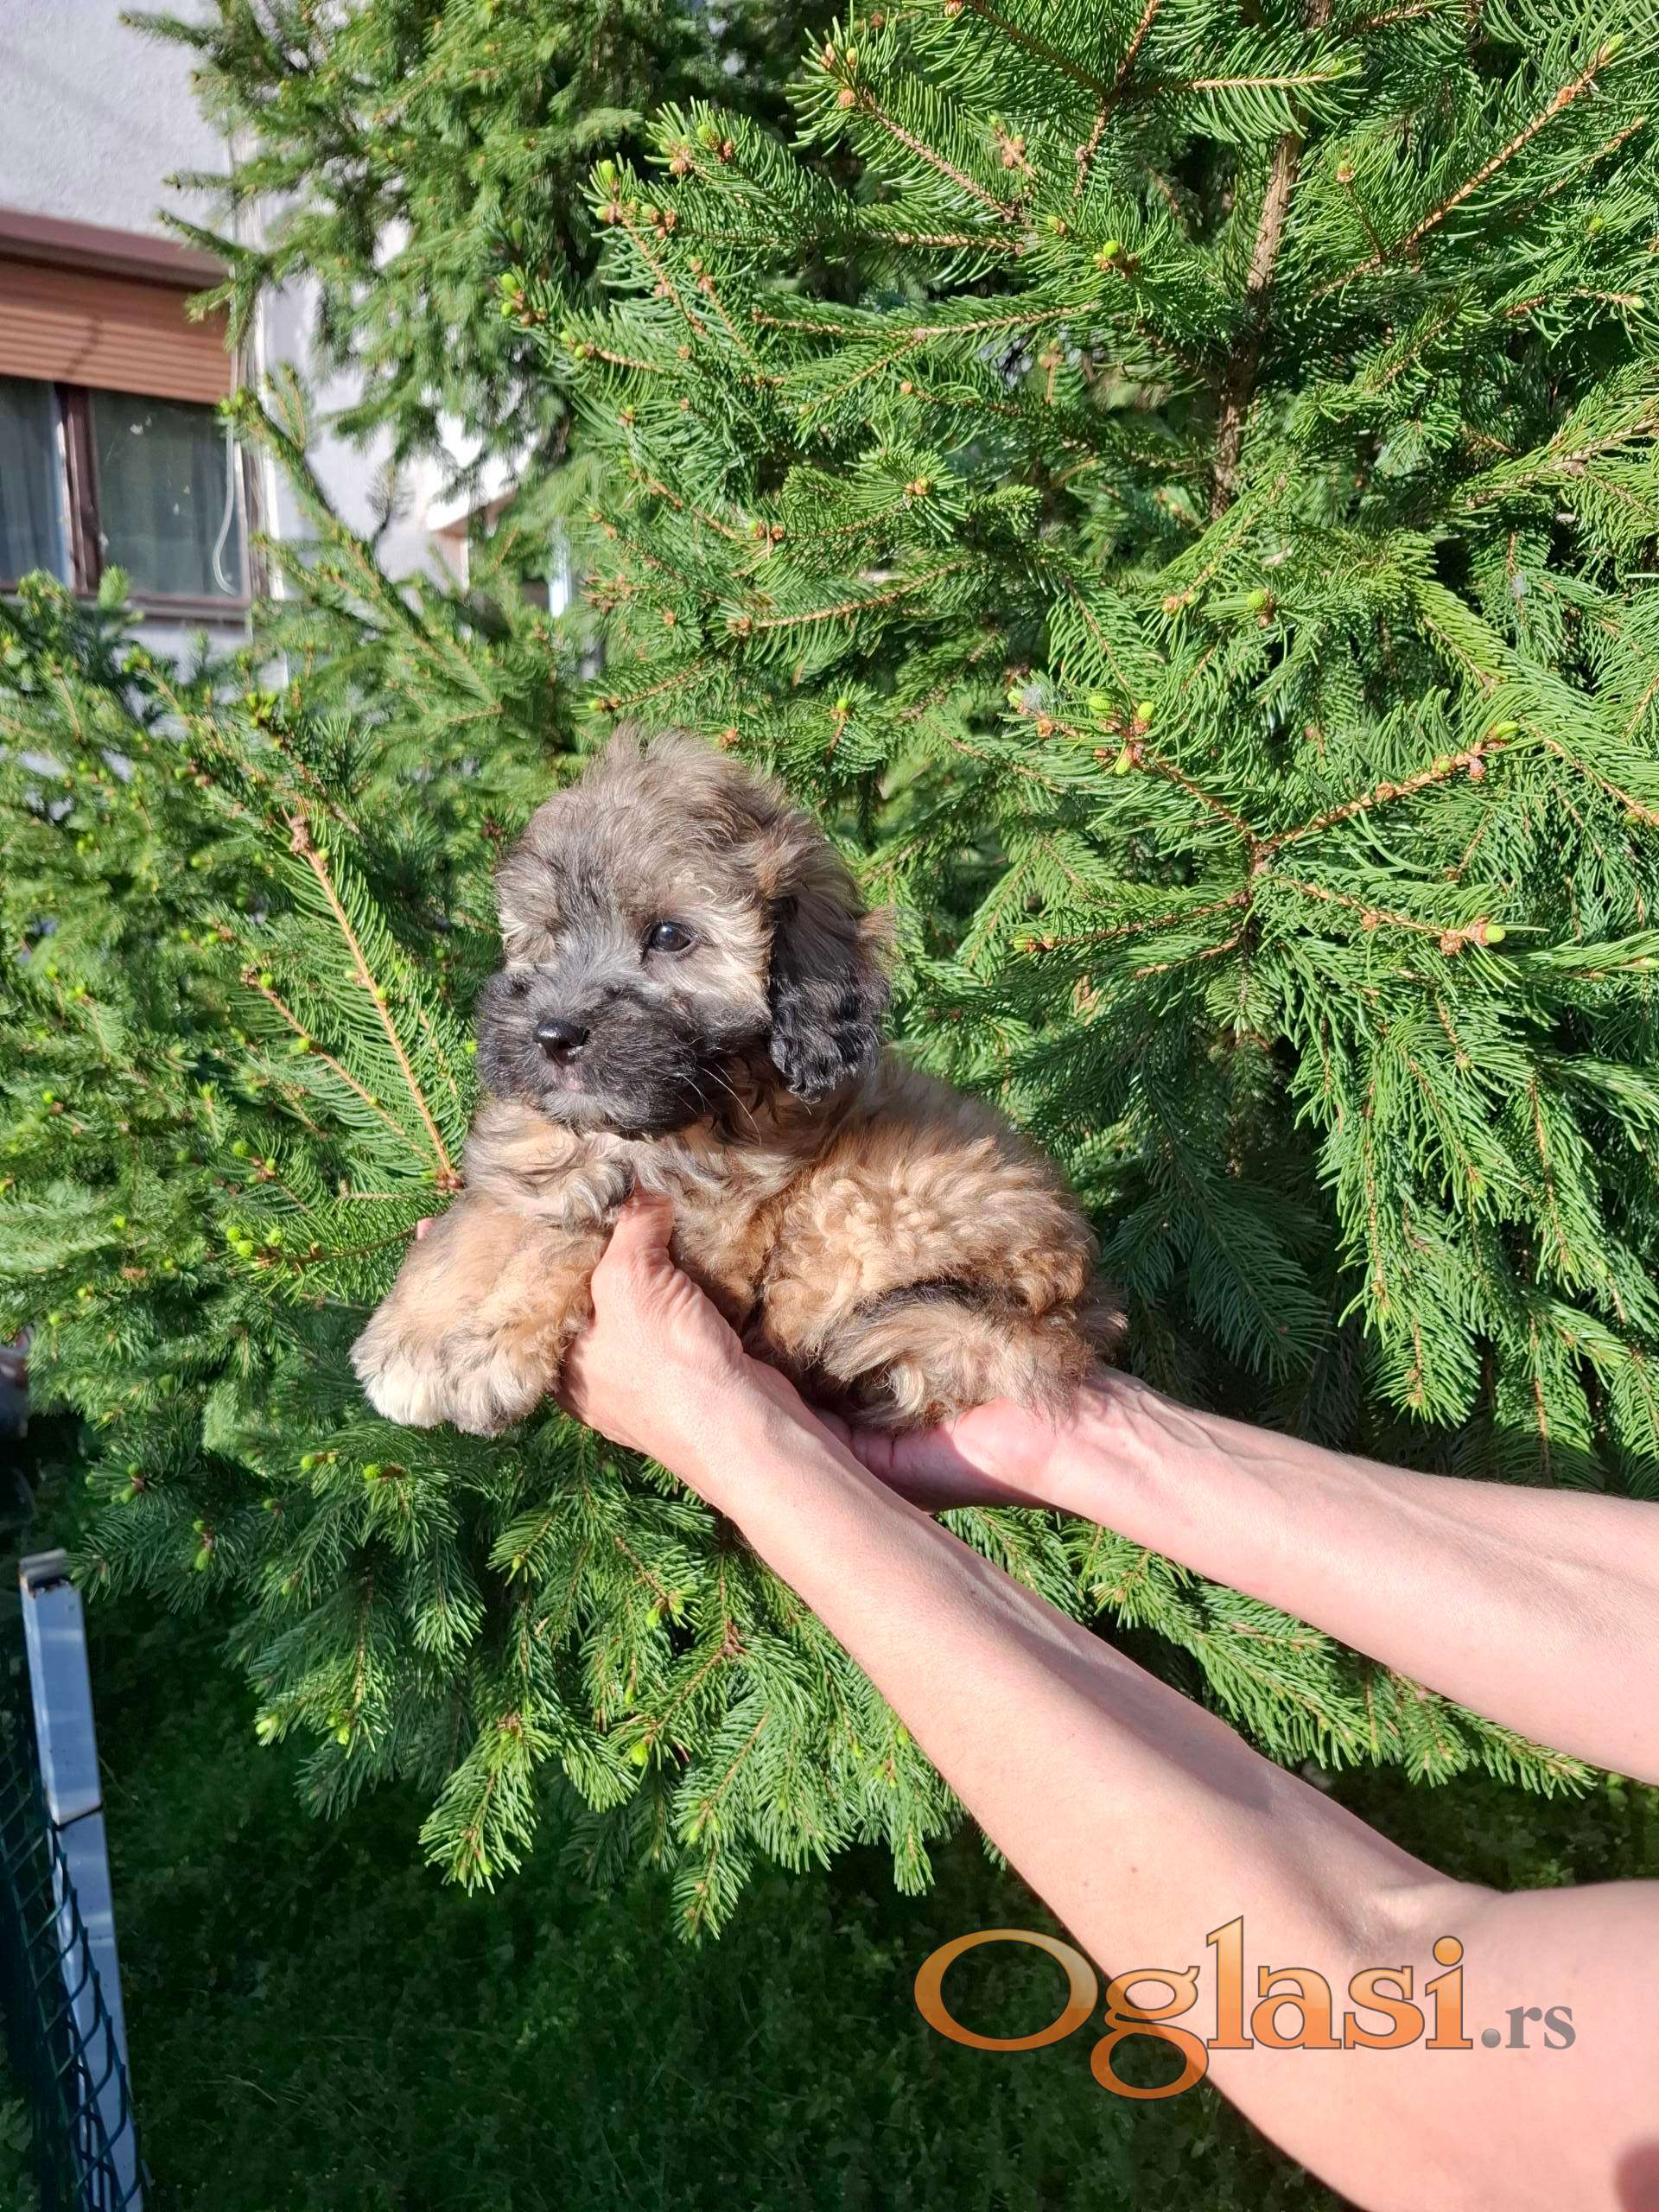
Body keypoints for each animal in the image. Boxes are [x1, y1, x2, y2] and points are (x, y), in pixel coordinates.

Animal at [351, 732, 1121, 1437]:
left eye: (669, 936)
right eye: (548, 933)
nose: (554, 1035)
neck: (671, 1121)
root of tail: (1067, 1318)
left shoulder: (708, 1228)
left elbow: (568, 1236)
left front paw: (480, 1351)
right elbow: (502, 1208)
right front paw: (419, 1326)